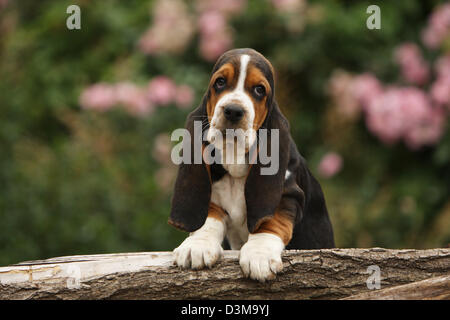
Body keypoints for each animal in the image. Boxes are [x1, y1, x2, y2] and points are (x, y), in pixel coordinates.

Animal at [169, 48, 334, 282]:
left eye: (259, 89)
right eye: (220, 82)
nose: (233, 110)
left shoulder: (287, 195)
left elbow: (269, 221)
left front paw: (259, 255)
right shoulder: (211, 196)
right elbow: (209, 218)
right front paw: (197, 246)